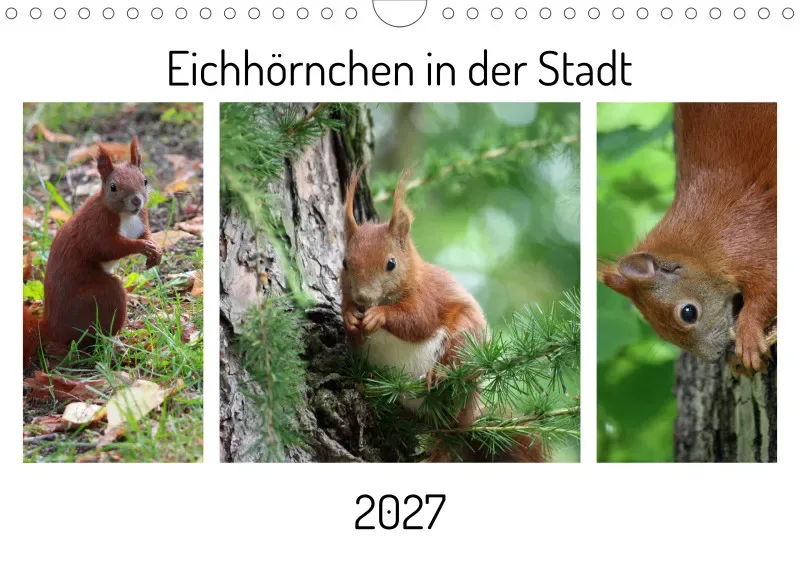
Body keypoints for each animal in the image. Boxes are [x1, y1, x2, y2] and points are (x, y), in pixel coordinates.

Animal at [23, 137, 162, 366]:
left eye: (145, 181)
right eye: (113, 187)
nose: (136, 201)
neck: (125, 215)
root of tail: (52, 328)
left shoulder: (142, 218)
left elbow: (146, 234)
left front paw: (155, 251)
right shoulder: (94, 227)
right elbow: (105, 247)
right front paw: (142, 247)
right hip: (97, 298)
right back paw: (112, 345)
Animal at [340, 166, 545, 462]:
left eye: (391, 264)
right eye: (345, 262)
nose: (363, 299)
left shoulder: (427, 296)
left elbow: (417, 321)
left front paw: (380, 315)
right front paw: (350, 318)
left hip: (464, 340)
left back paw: (438, 375)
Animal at [601, 103, 776, 373]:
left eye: (688, 313)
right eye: (660, 333)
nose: (715, 356)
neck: (702, 243)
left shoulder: (752, 237)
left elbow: (769, 287)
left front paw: (747, 336)